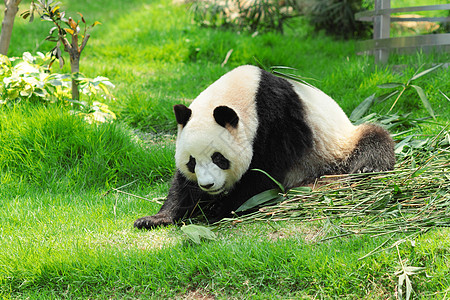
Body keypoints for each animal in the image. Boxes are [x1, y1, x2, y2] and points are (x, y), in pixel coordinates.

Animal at [134, 65, 394, 230]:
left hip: (339, 145)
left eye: (219, 158)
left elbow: (264, 174)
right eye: (192, 161)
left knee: (374, 139)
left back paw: (368, 168)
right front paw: (155, 218)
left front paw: (220, 208)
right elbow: (183, 186)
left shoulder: (277, 120)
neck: (247, 94)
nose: (208, 185)